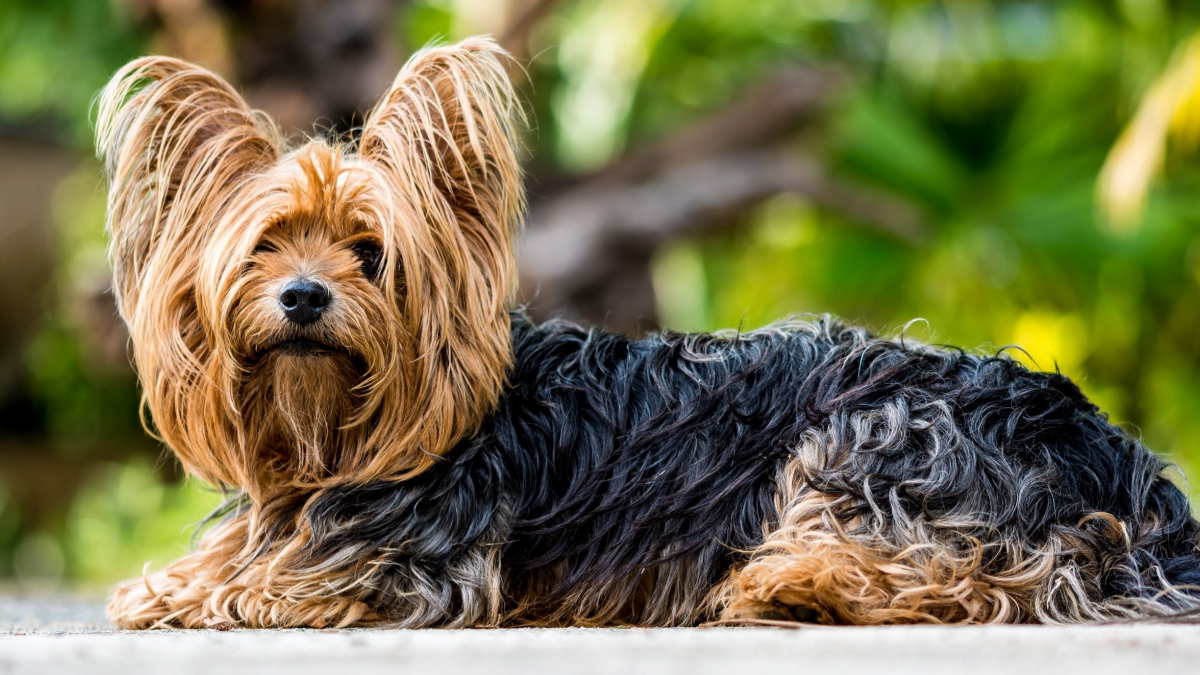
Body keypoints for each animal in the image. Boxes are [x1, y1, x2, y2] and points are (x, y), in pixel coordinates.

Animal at [96, 35, 1200, 624]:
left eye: (372, 254)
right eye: (265, 246)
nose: (304, 299)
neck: (333, 435)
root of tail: (1130, 471)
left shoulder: (412, 573)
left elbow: (256, 588)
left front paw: (183, 596)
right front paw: (179, 580)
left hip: (885, 436)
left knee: (981, 580)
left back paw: (793, 587)